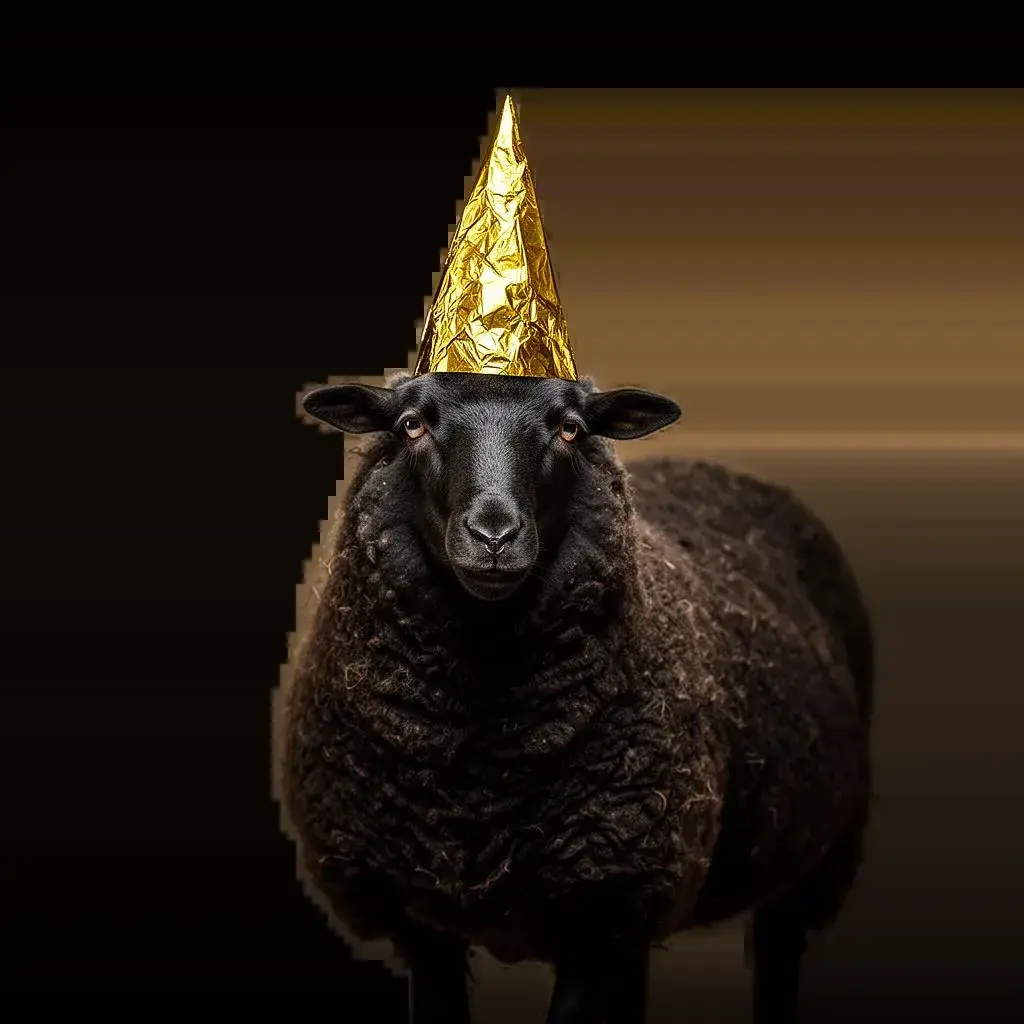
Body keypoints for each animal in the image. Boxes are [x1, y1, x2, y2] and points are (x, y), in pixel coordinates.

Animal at [275, 368, 874, 1024]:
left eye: (570, 427)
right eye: (411, 425)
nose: (494, 535)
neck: (478, 785)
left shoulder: (602, 907)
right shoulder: (417, 916)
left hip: (812, 861)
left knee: (778, 954)